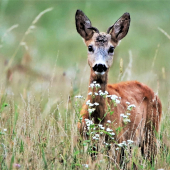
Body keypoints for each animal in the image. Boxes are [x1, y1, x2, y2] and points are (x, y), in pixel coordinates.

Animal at [75, 9, 162, 164]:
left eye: (111, 48)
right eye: (90, 47)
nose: (100, 66)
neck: (97, 118)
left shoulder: (117, 140)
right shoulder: (83, 140)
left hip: (150, 132)